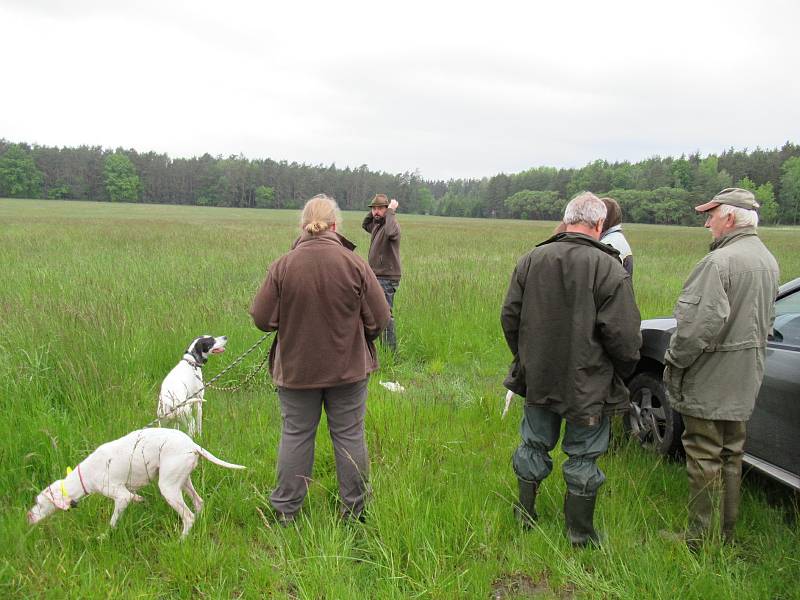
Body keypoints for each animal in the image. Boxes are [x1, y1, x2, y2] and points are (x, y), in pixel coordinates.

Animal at [26, 428, 245, 536]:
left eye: (38, 503)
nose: (28, 516)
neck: (85, 474)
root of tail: (192, 444)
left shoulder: (120, 496)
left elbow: (113, 521)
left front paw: (105, 536)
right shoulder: (128, 494)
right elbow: (135, 498)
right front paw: (140, 501)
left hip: (168, 487)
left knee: (188, 516)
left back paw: (181, 540)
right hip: (182, 480)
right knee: (198, 503)